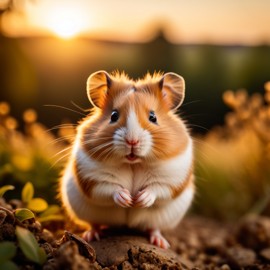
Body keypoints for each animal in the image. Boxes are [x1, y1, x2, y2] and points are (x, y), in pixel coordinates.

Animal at [59, 70, 194, 249]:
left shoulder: (173, 179)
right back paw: (92, 235)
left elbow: (158, 189)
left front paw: (139, 200)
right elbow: (108, 188)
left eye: (153, 117)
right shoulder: (91, 178)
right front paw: (128, 199)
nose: (132, 141)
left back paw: (160, 243)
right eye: (114, 115)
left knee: (154, 227)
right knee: (94, 223)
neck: (133, 163)